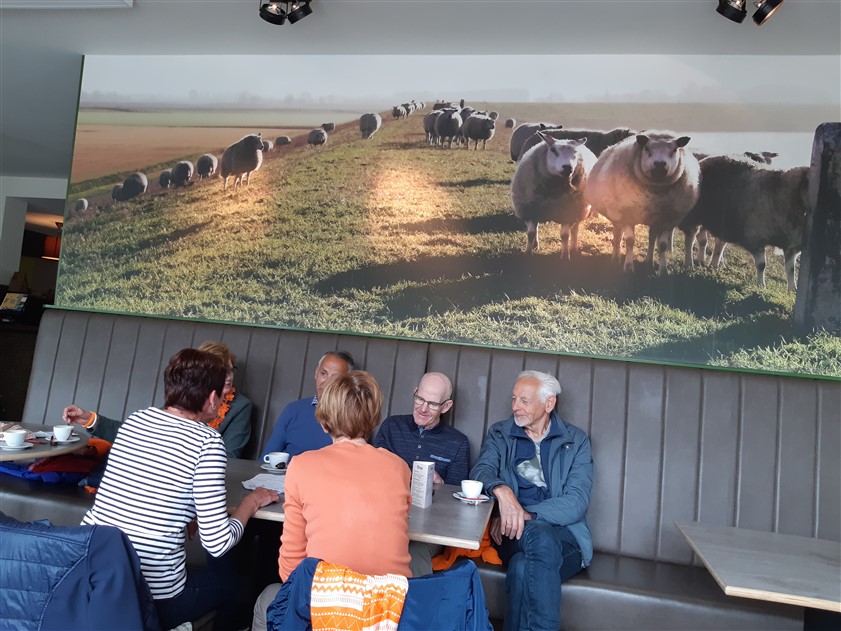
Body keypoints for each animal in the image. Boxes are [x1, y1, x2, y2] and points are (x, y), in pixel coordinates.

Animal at [587, 131, 701, 274]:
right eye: (647, 148)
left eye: (674, 149)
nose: (659, 164)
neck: (655, 193)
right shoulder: (627, 213)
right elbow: (630, 241)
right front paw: (628, 267)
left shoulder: (668, 219)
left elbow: (662, 245)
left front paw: (663, 270)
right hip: (617, 213)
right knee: (618, 235)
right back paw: (616, 257)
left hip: (654, 219)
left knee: (651, 239)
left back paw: (649, 261)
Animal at [683, 155, 808, 290]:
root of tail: (704, 160)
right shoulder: (756, 238)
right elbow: (761, 265)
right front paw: (761, 285)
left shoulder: (791, 245)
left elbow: (791, 269)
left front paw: (792, 289)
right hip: (695, 214)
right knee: (691, 238)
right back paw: (689, 263)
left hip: (719, 221)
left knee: (710, 241)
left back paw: (709, 263)